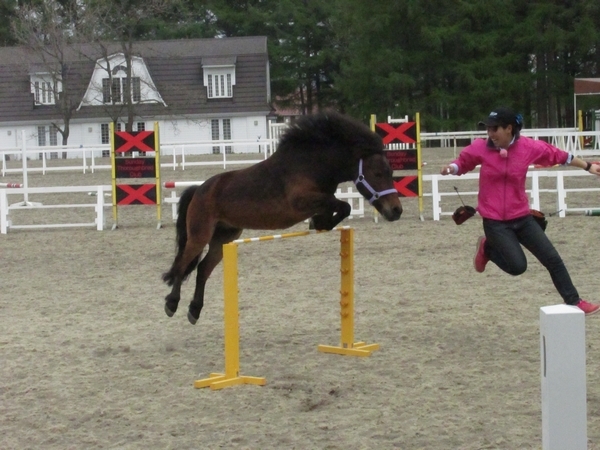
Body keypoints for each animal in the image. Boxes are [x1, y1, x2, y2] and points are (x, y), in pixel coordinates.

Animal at [163, 111, 404, 324]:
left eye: (390, 172)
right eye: (377, 174)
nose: (396, 210)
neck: (312, 165)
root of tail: (199, 189)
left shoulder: (319, 201)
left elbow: (336, 208)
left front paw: (319, 223)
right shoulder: (301, 201)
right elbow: (343, 205)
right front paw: (320, 222)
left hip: (224, 237)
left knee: (203, 268)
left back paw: (194, 310)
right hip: (200, 235)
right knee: (183, 264)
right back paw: (172, 304)